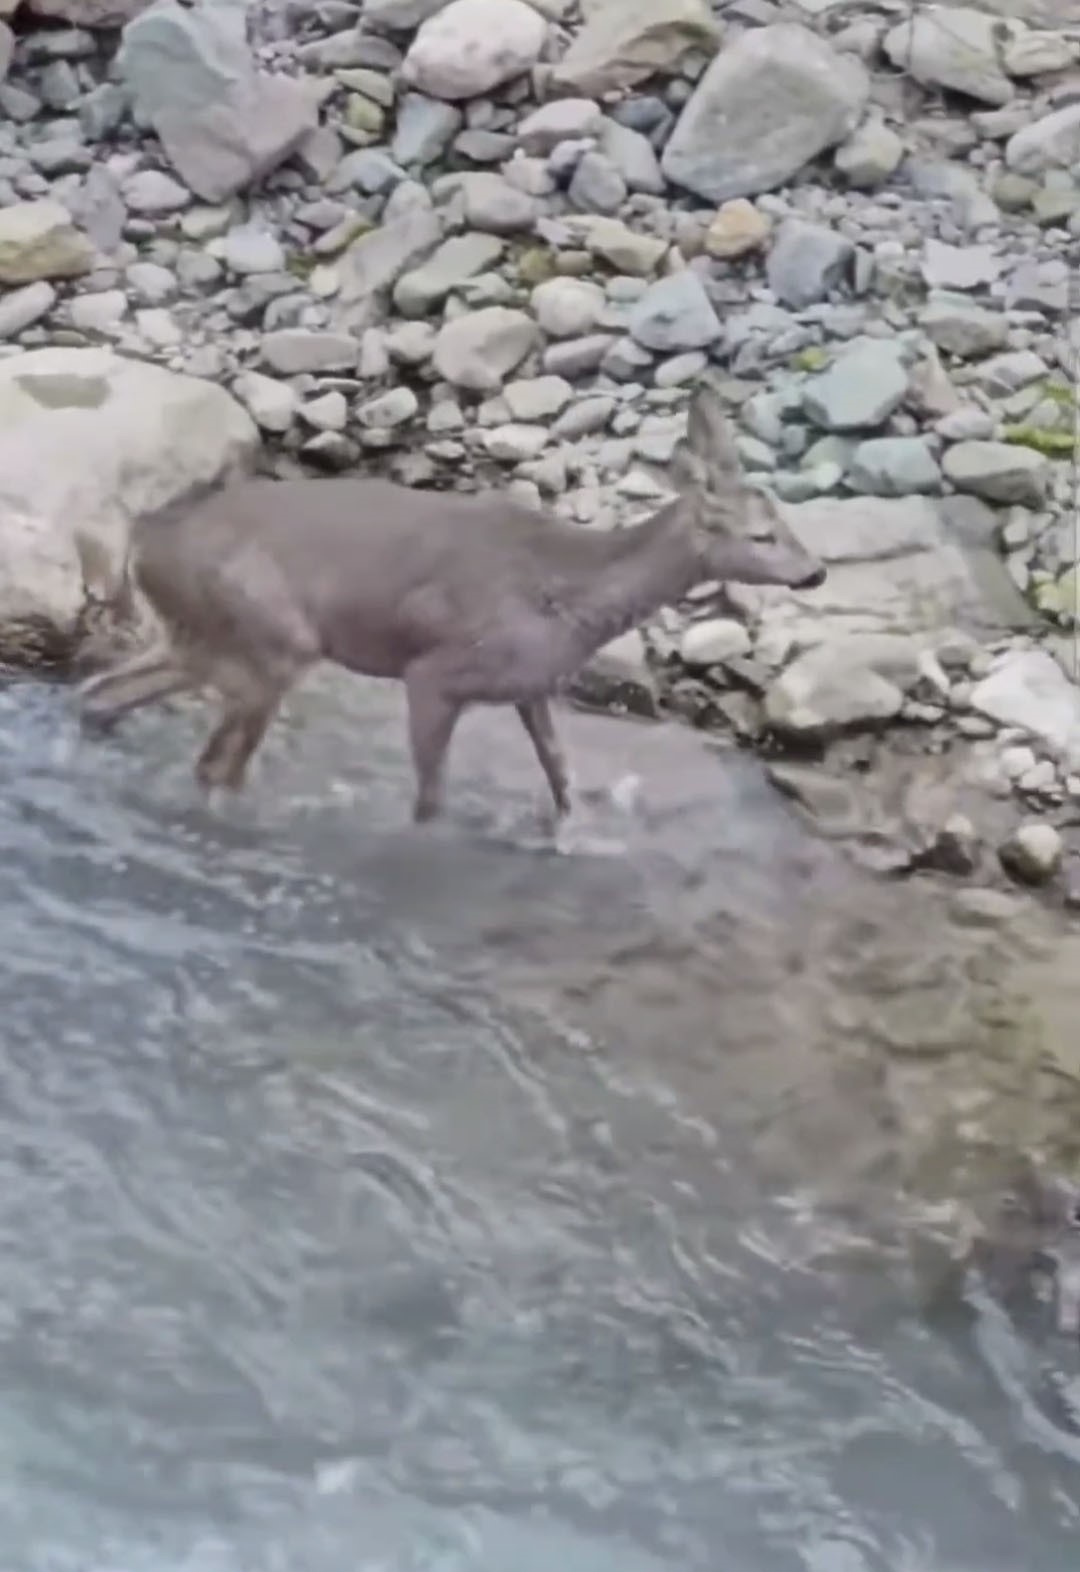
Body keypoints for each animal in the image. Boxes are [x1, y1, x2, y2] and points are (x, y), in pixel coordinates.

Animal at [78, 380, 830, 823]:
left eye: (788, 520)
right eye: (762, 535)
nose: (816, 572)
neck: (572, 595)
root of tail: (143, 544)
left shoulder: (531, 685)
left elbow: (562, 776)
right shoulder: (435, 672)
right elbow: (431, 799)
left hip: (204, 639)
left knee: (101, 692)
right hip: (270, 638)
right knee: (213, 766)